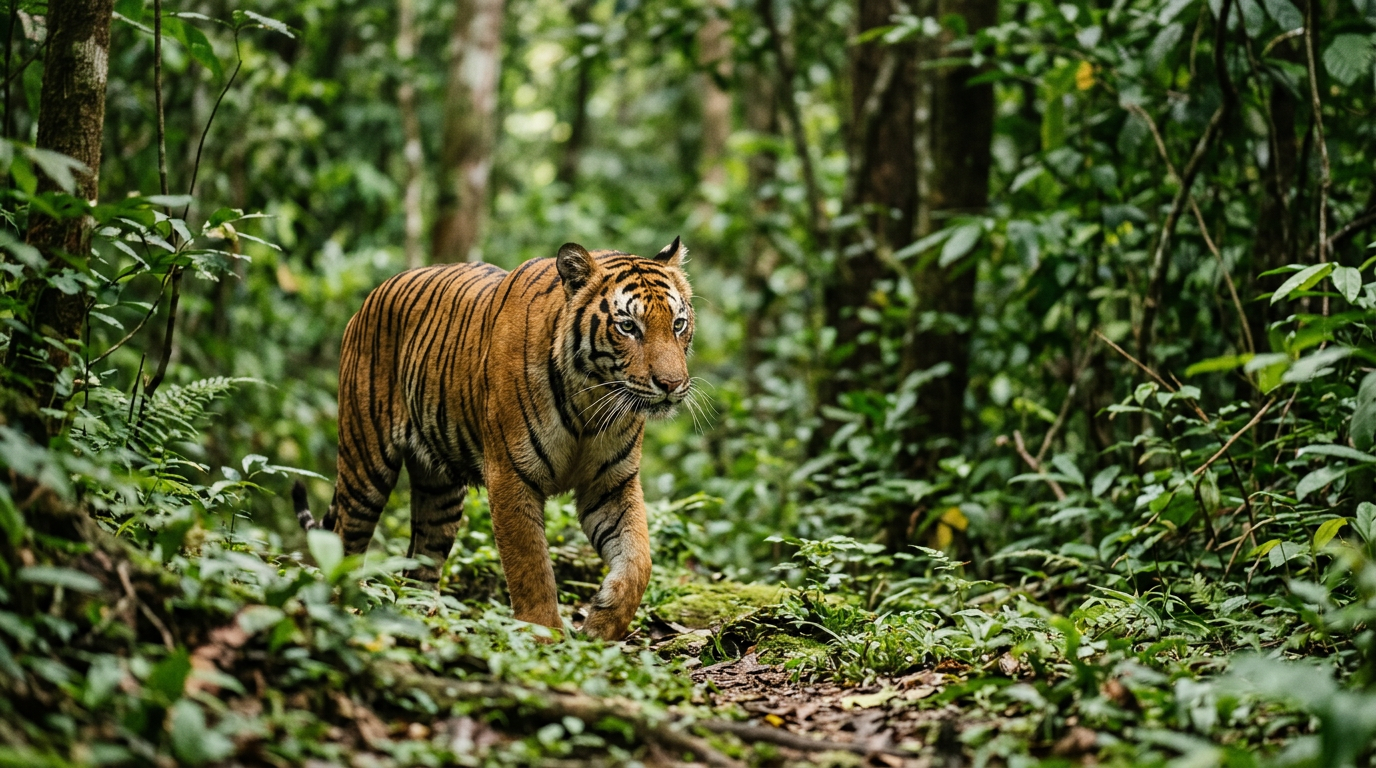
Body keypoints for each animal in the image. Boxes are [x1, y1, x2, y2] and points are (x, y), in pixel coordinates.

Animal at [293, 238, 695, 641]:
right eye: (628, 326)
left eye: (678, 324)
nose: (671, 384)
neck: (591, 402)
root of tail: (372, 296)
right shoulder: (511, 476)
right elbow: (530, 565)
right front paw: (544, 636)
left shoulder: (611, 484)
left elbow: (638, 560)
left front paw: (602, 622)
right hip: (365, 466)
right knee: (344, 543)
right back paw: (343, 615)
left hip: (439, 492)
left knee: (421, 566)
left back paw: (422, 626)